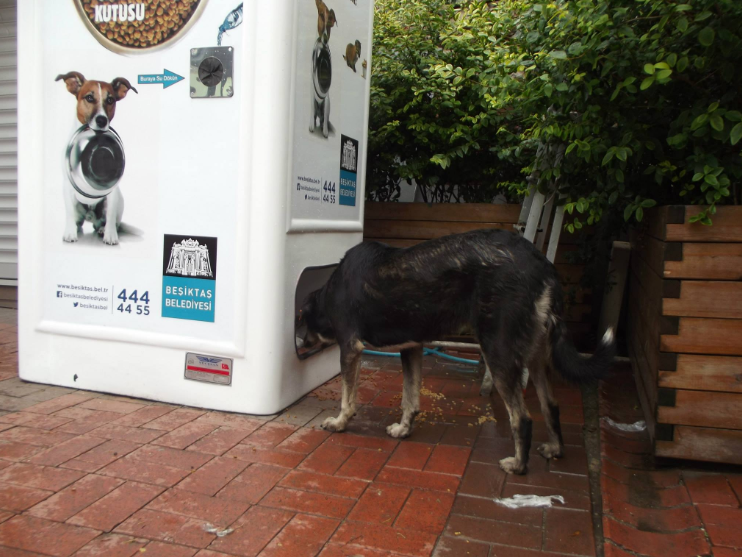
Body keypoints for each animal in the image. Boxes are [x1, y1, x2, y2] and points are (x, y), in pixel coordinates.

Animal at [300, 229, 620, 474]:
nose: (300, 348)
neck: (329, 291)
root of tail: (543, 264)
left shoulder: (350, 349)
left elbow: (347, 399)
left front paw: (339, 423)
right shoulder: (413, 348)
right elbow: (409, 399)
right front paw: (404, 430)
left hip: (498, 353)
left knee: (522, 418)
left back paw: (518, 465)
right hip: (536, 357)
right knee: (550, 405)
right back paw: (555, 448)